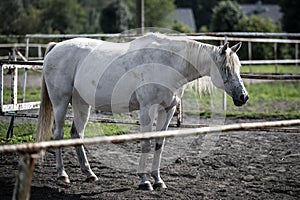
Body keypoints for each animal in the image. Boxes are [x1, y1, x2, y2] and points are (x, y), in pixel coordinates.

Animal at [36, 32, 250, 191]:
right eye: (226, 68)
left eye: (239, 67)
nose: (243, 97)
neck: (168, 64)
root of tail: (56, 47)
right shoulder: (148, 108)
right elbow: (146, 143)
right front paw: (144, 180)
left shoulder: (168, 110)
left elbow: (159, 143)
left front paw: (158, 180)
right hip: (61, 101)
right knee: (58, 134)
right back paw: (62, 175)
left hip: (81, 104)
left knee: (76, 134)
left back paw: (89, 174)